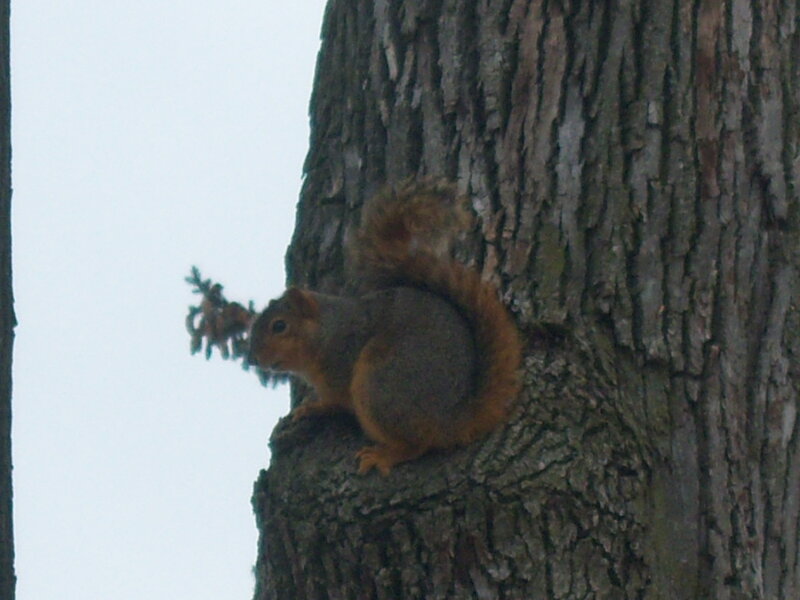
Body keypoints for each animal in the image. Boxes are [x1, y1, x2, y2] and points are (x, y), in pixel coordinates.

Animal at [247, 180, 522, 475]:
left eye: (279, 326)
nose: (252, 358)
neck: (325, 332)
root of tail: (453, 420)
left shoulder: (341, 361)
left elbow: (336, 400)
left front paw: (317, 406)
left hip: (380, 385)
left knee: (419, 443)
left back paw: (384, 455)